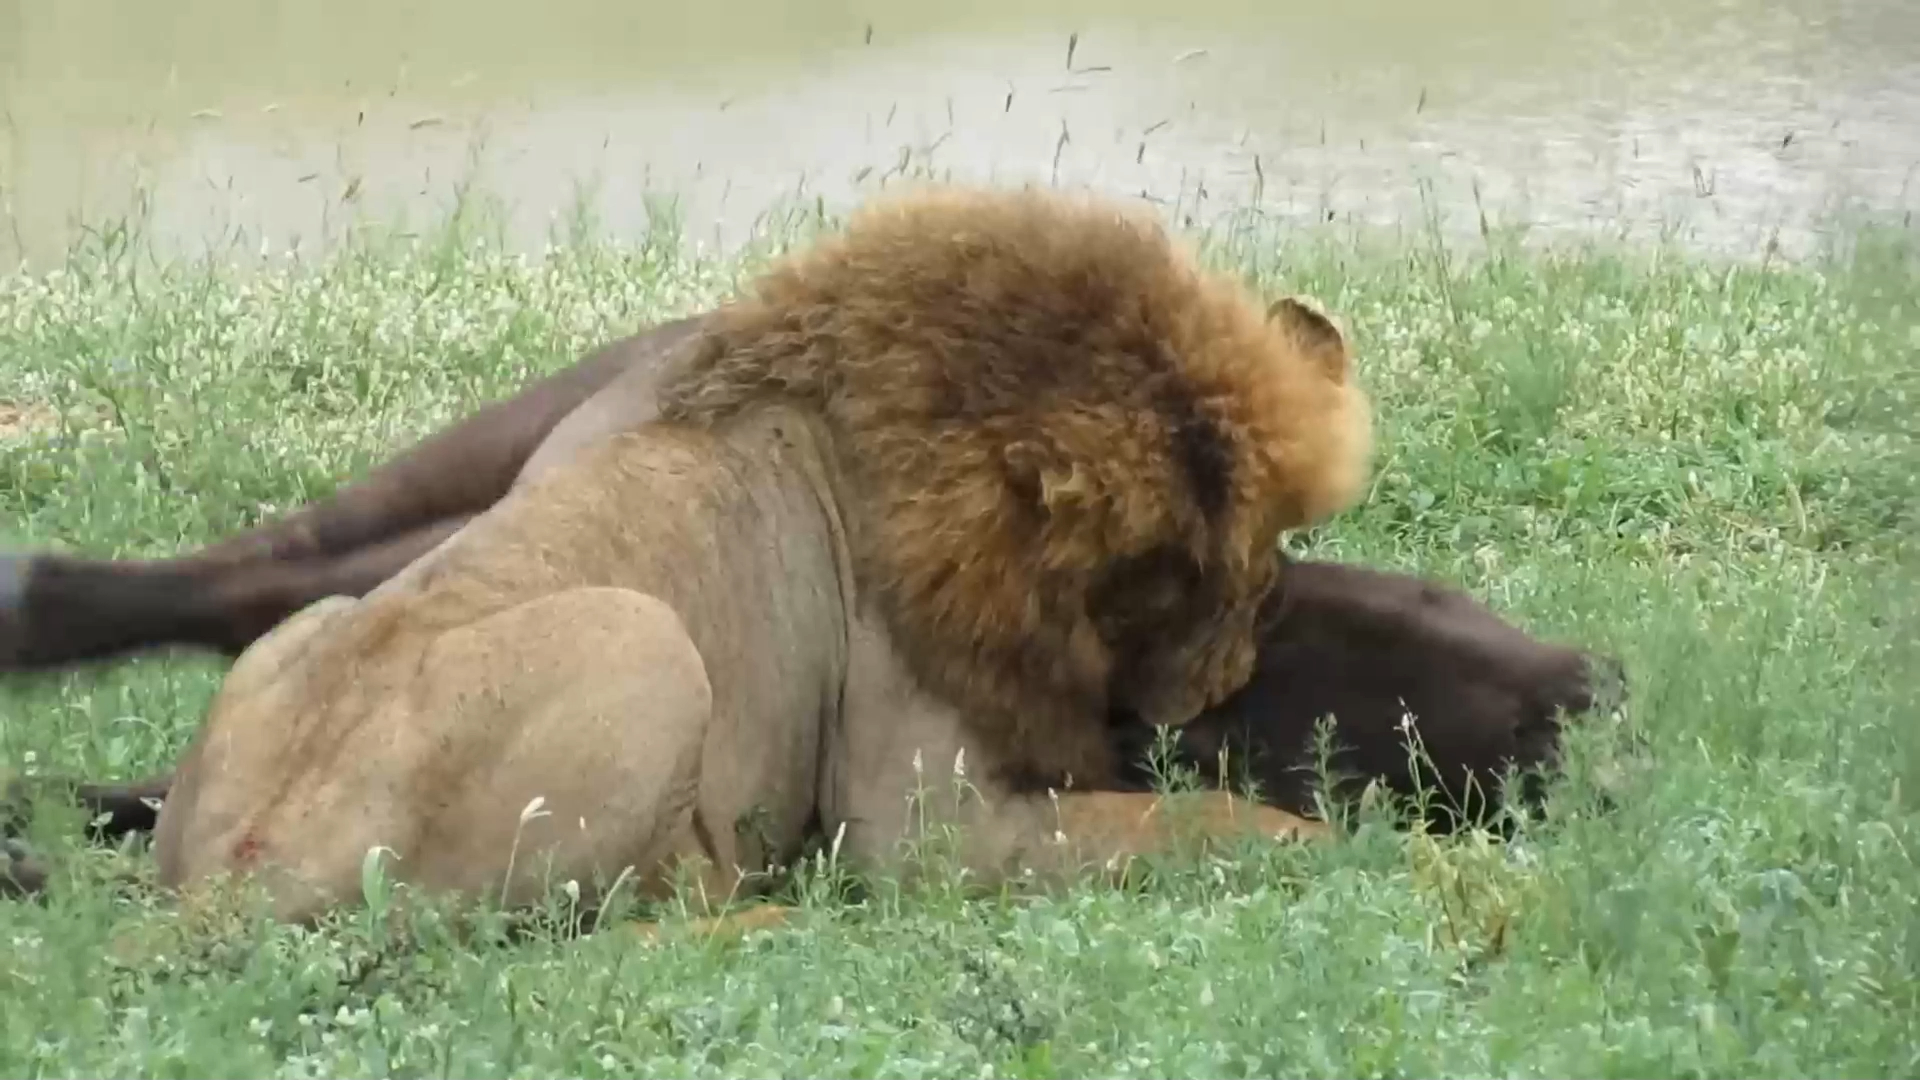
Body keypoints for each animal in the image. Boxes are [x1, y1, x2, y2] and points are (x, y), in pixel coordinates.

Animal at [135, 182, 1374, 914]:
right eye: (1197, 575)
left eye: (1268, 558)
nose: (1226, 672)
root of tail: (236, 870)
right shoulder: (922, 825)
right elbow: (1206, 820)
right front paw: (1357, 849)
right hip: (644, 641)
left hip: (298, 634)